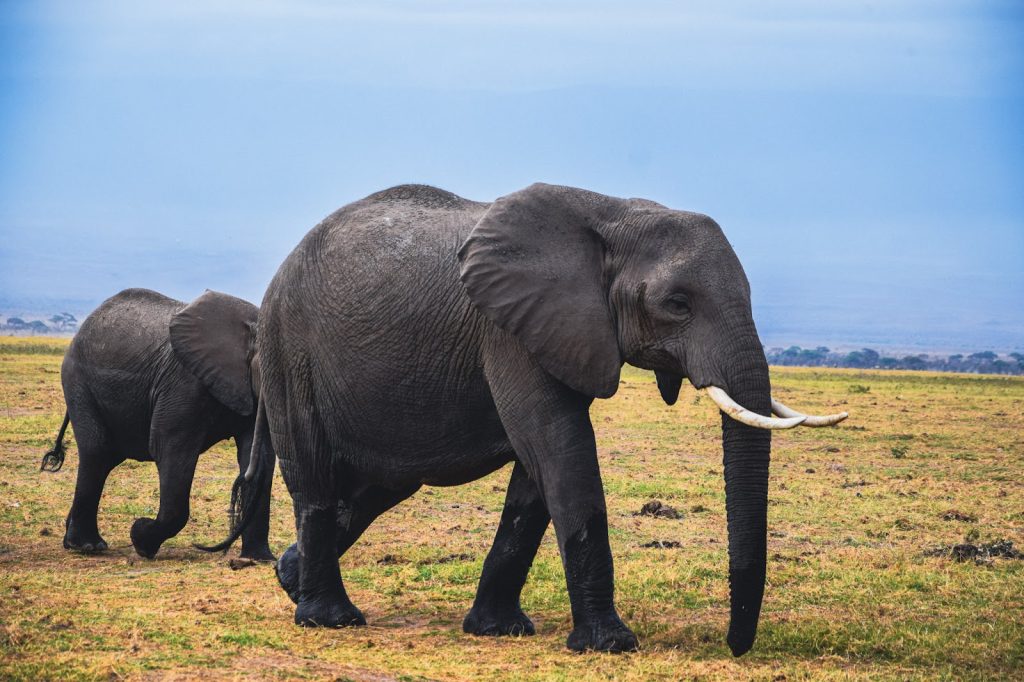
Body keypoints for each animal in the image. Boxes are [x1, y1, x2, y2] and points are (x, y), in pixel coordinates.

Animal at [41, 288, 276, 561]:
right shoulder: (185, 383)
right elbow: (170, 448)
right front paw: (140, 538)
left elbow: (258, 455)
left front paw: (259, 559)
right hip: (78, 383)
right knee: (97, 452)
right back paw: (87, 546)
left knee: (107, 458)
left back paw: (73, 540)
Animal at [213, 184, 846, 654]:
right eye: (677, 304)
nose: (735, 647)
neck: (613, 214)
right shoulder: (509, 331)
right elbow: (559, 450)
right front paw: (611, 645)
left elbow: (539, 470)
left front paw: (499, 631)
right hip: (289, 353)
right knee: (316, 478)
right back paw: (329, 619)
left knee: (378, 487)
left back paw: (289, 580)